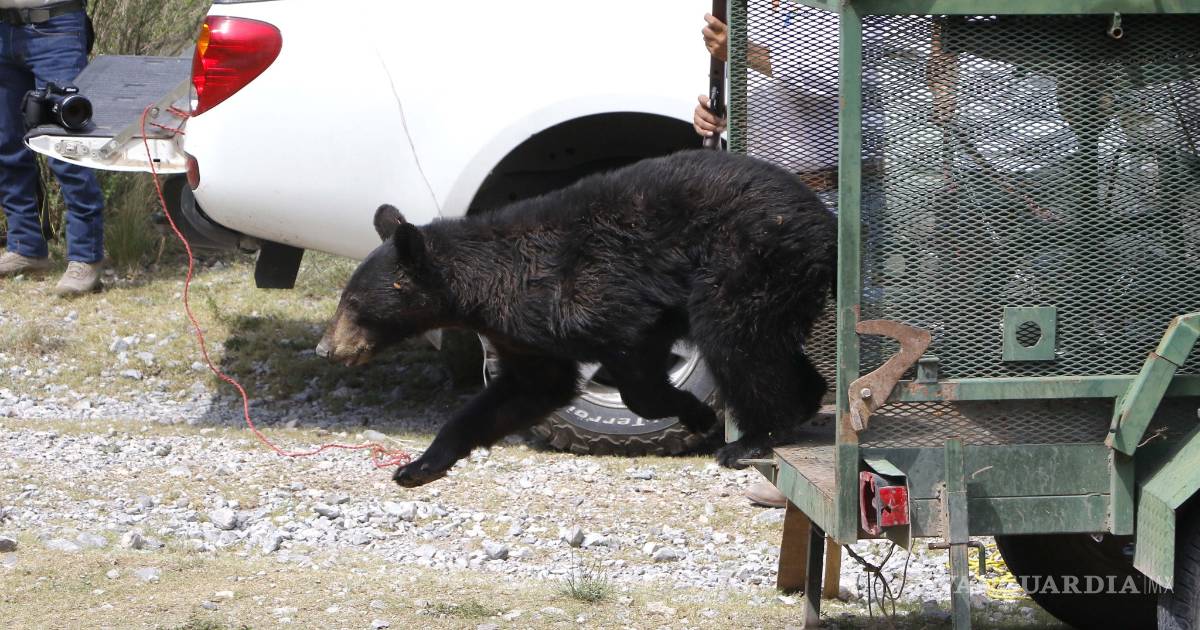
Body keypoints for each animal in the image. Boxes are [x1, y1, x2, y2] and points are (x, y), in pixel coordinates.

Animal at [316, 149, 836, 487]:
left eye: (355, 305)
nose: (326, 349)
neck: (492, 284)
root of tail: (827, 223)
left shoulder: (596, 292)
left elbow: (636, 369)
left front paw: (696, 411)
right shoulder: (523, 335)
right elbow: (527, 390)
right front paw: (418, 466)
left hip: (747, 261)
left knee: (735, 340)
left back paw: (751, 438)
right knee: (764, 343)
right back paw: (805, 399)